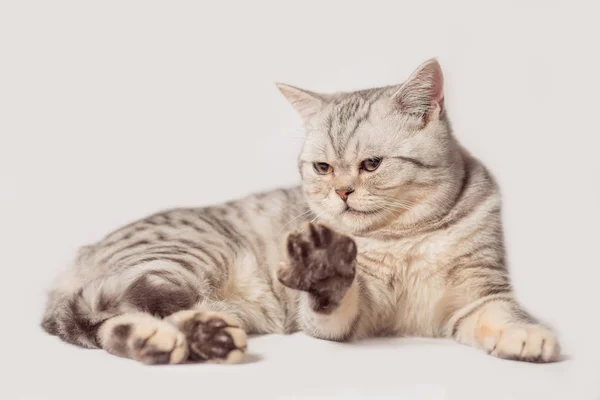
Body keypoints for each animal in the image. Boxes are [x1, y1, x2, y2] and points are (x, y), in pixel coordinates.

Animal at [41, 60, 556, 366]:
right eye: (323, 168)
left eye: (372, 164)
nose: (342, 192)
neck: (403, 237)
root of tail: (75, 260)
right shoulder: (347, 317)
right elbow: (332, 301)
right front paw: (325, 269)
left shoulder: (480, 292)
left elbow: (503, 313)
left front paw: (525, 335)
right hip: (182, 260)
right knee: (105, 312)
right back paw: (184, 338)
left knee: (106, 324)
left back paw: (186, 339)